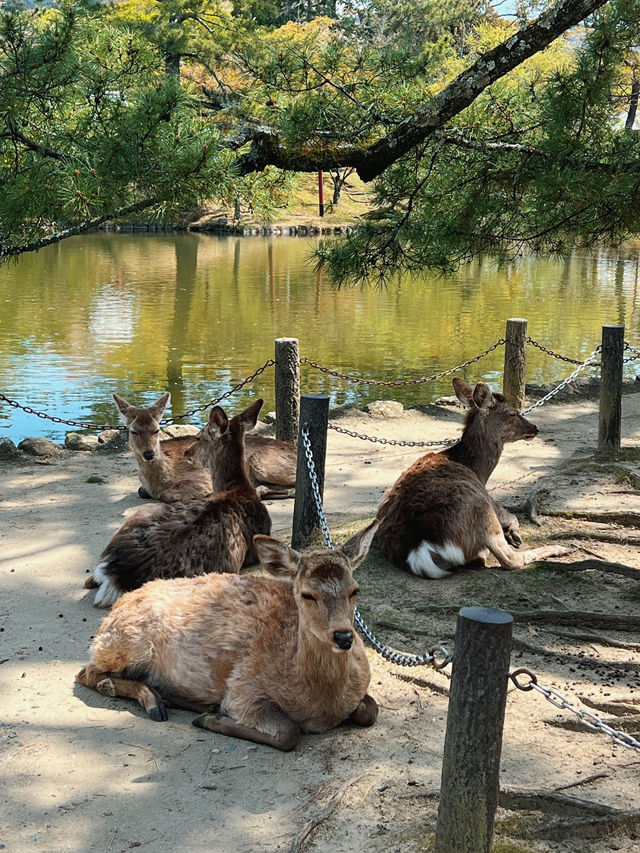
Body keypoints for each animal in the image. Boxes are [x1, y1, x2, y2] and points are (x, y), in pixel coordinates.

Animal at [75, 520, 378, 752]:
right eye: (307, 594)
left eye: (355, 590)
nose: (343, 636)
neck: (321, 704)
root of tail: (117, 606)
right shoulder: (243, 689)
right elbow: (288, 732)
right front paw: (210, 719)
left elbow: (370, 710)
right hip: (123, 643)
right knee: (85, 673)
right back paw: (158, 704)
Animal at [113, 392, 298, 502]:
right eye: (133, 431)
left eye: (157, 430)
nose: (149, 454)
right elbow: (141, 490)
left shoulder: (202, 478)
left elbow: (168, 495)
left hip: (262, 463)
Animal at [376, 380, 568, 580]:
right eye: (512, 413)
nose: (534, 428)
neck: (478, 471)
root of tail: (418, 549)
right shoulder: (487, 495)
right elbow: (510, 515)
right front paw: (514, 532)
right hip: (480, 509)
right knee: (509, 559)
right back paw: (558, 548)